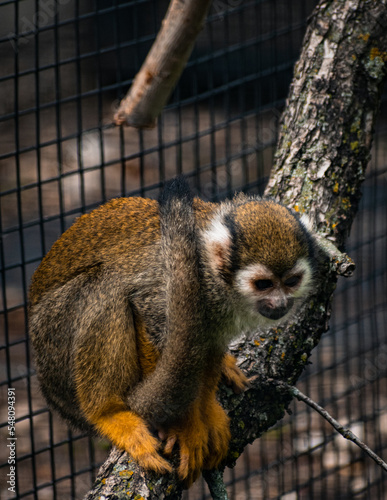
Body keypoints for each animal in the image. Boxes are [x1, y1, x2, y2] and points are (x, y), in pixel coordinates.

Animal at [28, 178, 316, 486]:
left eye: (291, 281)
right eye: (263, 284)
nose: (281, 304)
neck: (217, 276)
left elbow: (209, 345)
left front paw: (207, 411)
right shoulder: (174, 281)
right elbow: (149, 318)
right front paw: (184, 426)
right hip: (54, 341)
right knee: (105, 286)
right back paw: (108, 413)